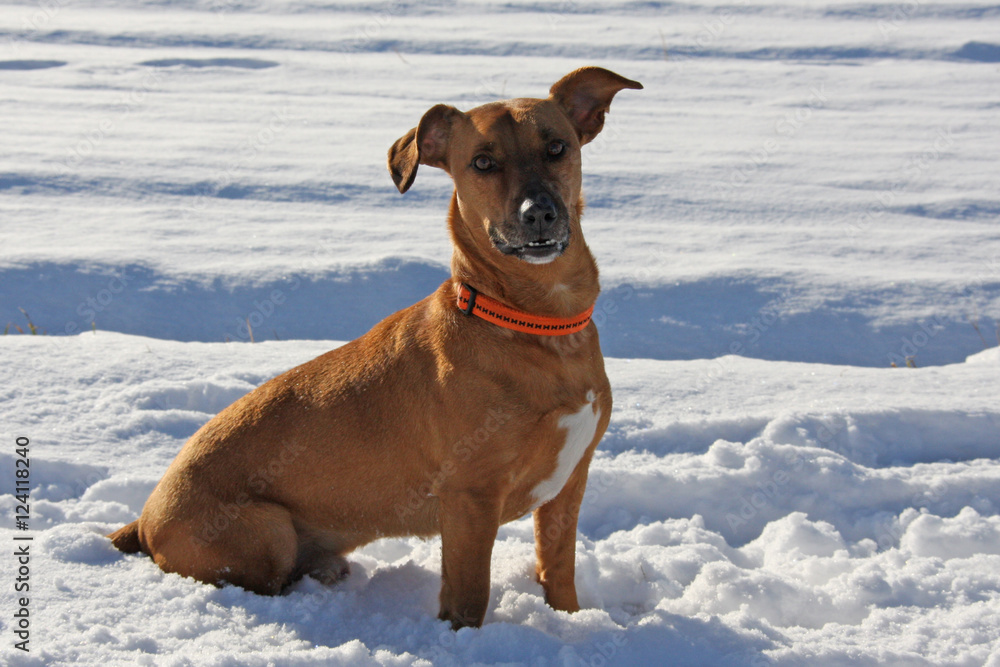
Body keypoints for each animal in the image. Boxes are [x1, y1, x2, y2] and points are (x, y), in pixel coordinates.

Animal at [109, 68, 640, 632]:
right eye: (482, 162)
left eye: (558, 147)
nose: (539, 213)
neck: (535, 322)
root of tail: (143, 519)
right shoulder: (471, 498)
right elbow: (468, 597)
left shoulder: (569, 483)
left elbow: (558, 571)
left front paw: (573, 622)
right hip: (267, 532)